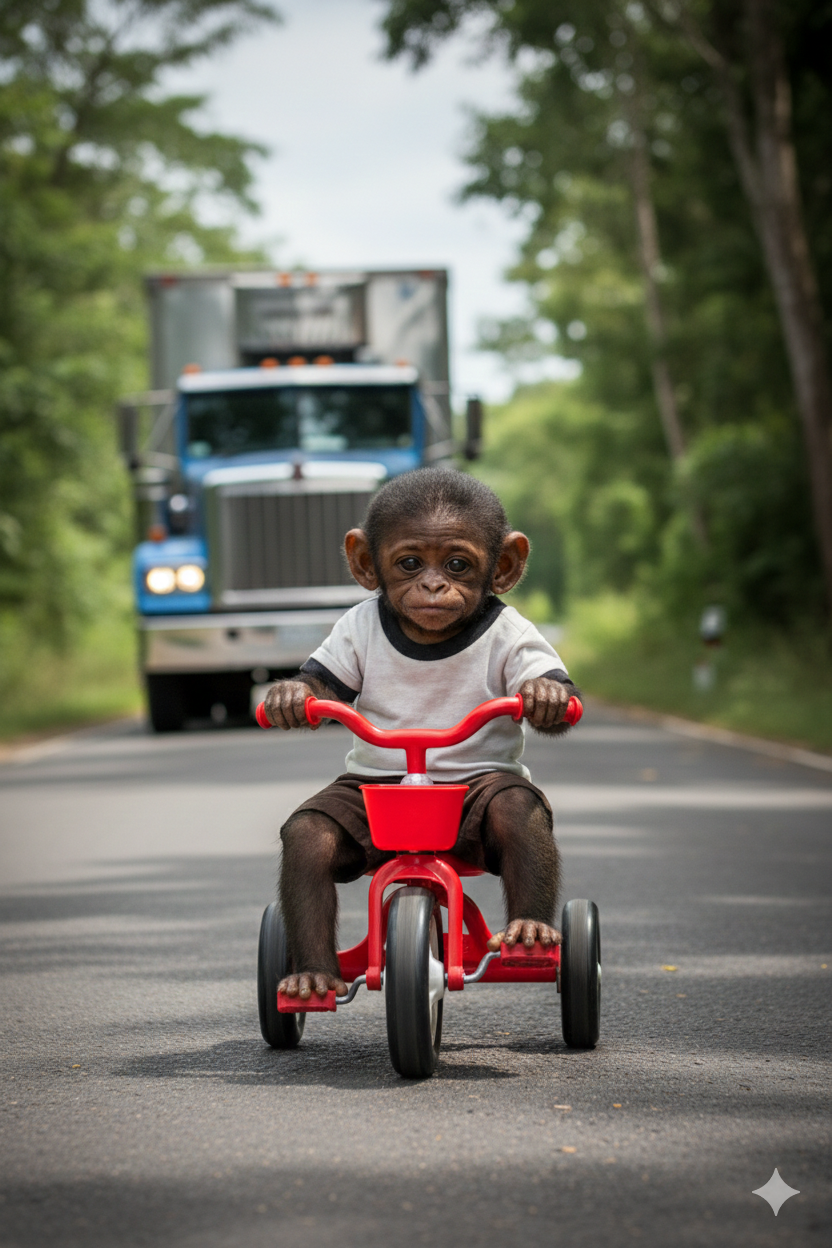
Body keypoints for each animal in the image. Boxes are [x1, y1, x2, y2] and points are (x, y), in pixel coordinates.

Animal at [263, 468, 580, 1001]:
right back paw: (311, 976)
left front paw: (546, 694)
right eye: (409, 563)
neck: (431, 640)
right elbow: (321, 680)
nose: (433, 585)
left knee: (515, 808)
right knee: (310, 836)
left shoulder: (520, 633)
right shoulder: (349, 628)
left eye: (457, 564)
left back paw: (531, 935)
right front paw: (288, 696)